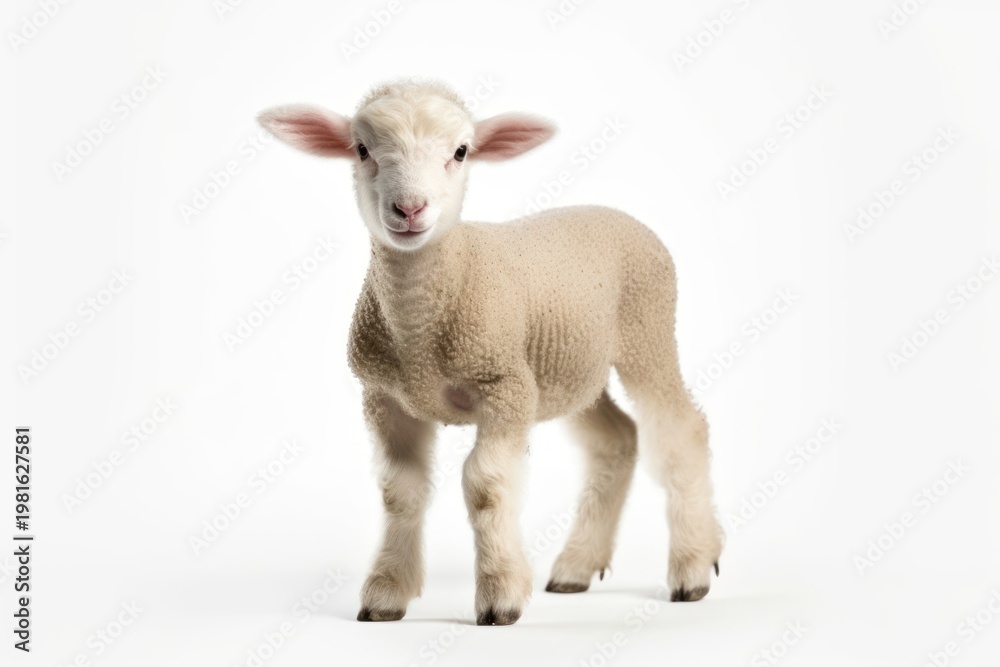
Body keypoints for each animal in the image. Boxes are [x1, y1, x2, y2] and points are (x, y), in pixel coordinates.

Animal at [257, 79, 723, 626]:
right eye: (362, 149)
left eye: (461, 152)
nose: (409, 209)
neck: (420, 330)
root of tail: (613, 212)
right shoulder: (385, 397)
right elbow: (399, 490)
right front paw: (386, 594)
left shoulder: (505, 387)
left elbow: (486, 485)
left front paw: (500, 595)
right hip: (565, 370)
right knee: (616, 438)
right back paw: (577, 567)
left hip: (647, 334)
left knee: (680, 429)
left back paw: (693, 566)